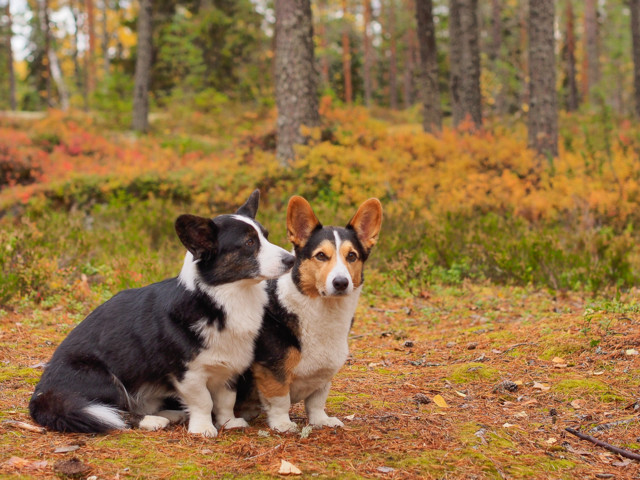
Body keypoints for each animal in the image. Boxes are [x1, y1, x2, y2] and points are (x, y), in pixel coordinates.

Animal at [31, 189, 296, 436]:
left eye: (266, 236)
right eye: (249, 243)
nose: (292, 260)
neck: (223, 297)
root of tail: (42, 394)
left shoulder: (228, 368)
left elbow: (225, 401)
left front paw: (229, 422)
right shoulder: (188, 373)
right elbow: (203, 401)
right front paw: (203, 428)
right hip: (104, 379)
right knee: (117, 411)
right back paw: (152, 421)